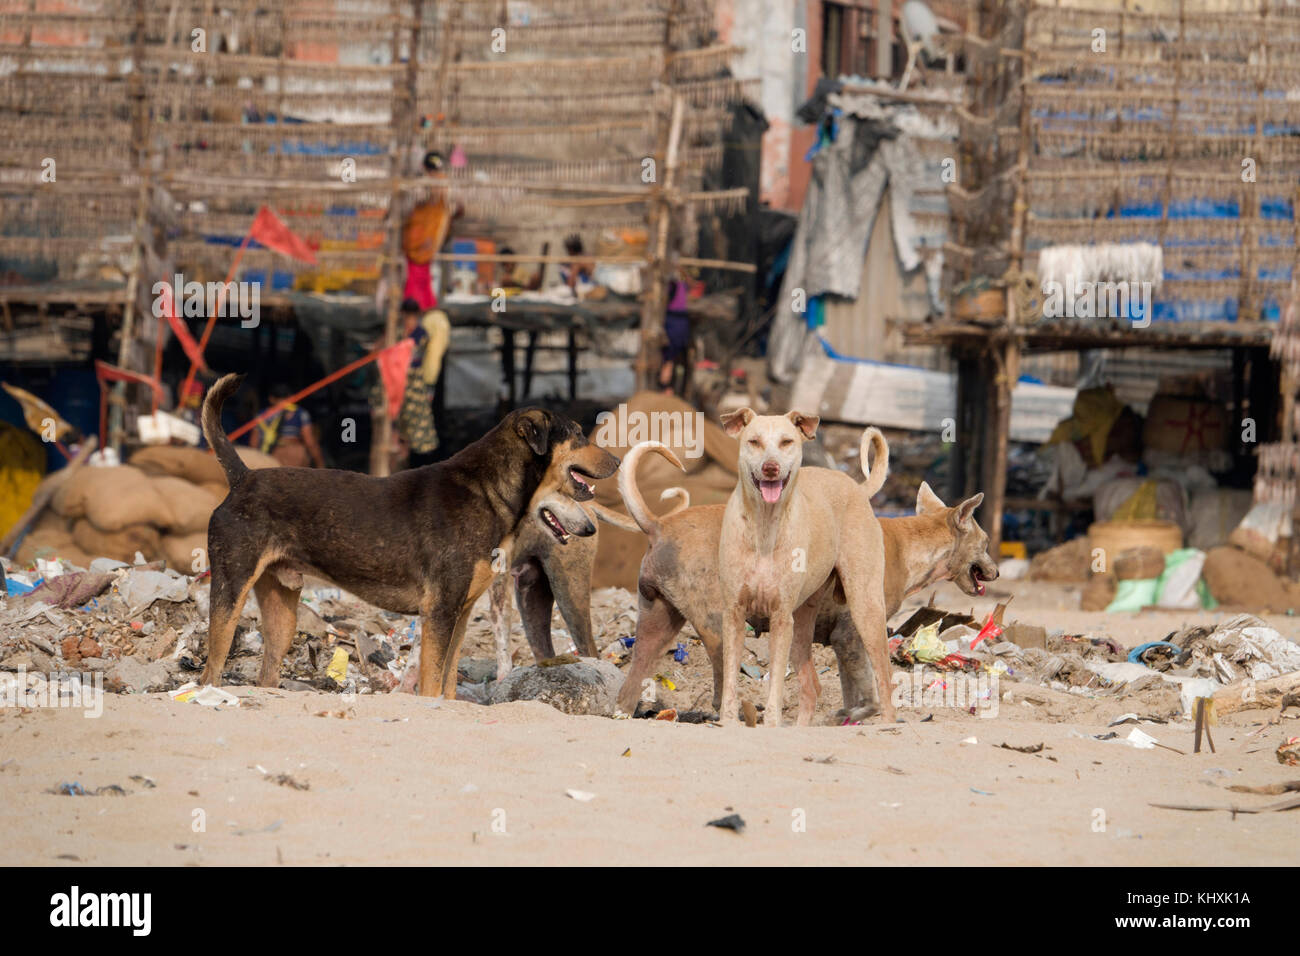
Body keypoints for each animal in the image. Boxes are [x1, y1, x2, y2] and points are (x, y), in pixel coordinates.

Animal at [200, 374, 616, 697]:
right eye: (579, 435)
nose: (616, 461)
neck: (488, 491)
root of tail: (242, 478)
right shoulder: (440, 610)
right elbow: (431, 682)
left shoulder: (460, 612)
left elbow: (447, 684)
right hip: (230, 588)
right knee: (211, 667)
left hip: (282, 610)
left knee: (267, 674)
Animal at [712, 408, 894, 728]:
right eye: (754, 441)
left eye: (786, 442)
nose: (770, 467)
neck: (765, 526)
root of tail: (857, 488)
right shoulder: (734, 613)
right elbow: (731, 677)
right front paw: (728, 721)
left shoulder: (781, 617)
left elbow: (775, 682)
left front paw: (771, 722)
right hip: (802, 623)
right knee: (811, 686)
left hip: (865, 607)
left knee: (884, 676)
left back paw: (887, 723)